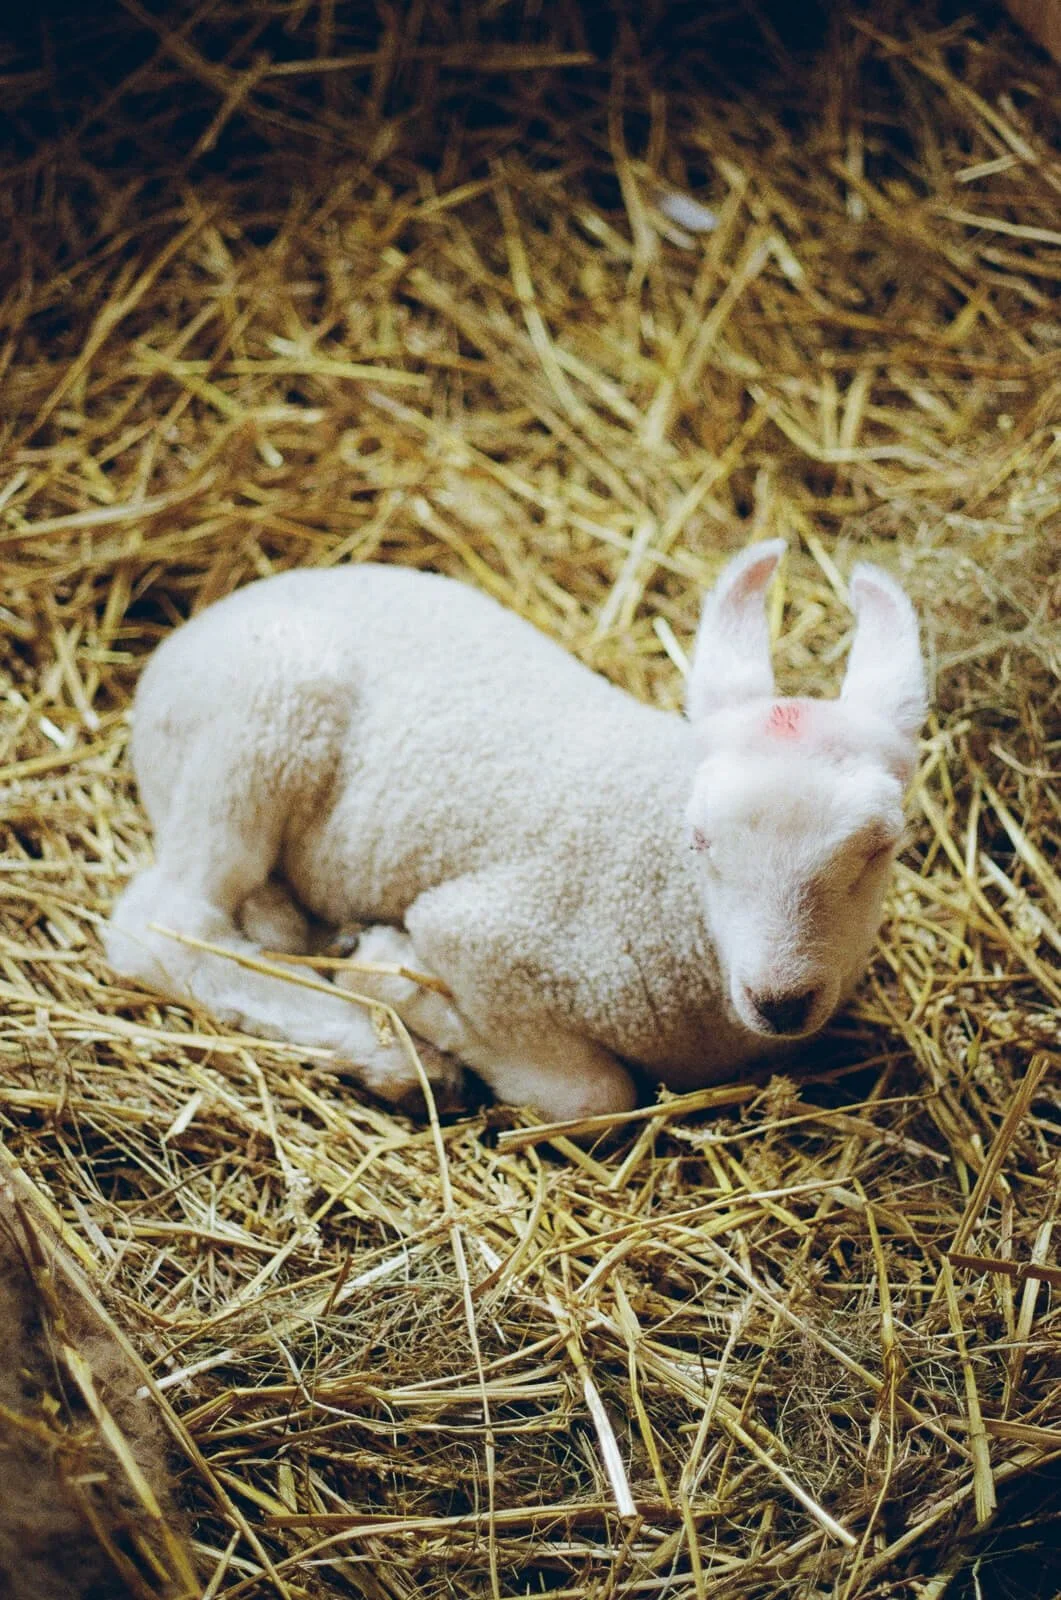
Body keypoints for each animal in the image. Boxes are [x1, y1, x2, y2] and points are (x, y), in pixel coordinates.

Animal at [105, 540, 927, 1123]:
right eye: (699, 840)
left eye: (881, 847)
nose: (780, 1000)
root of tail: (187, 636)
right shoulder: (488, 933)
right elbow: (593, 1098)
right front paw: (393, 976)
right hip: (263, 716)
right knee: (163, 927)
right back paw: (391, 1055)